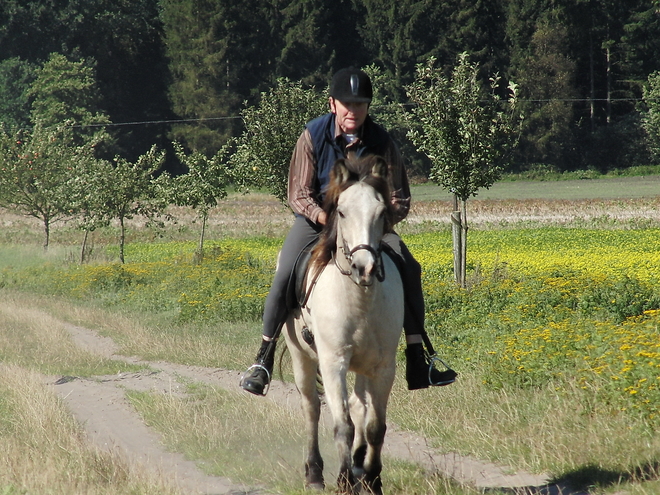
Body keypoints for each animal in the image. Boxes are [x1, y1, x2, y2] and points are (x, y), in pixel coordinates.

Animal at [282, 155, 402, 495]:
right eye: (343, 211)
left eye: (381, 212)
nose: (365, 267)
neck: (359, 299)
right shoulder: (333, 361)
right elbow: (343, 426)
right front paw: (345, 480)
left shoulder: (384, 367)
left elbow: (374, 426)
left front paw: (372, 479)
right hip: (301, 357)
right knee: (311, 406)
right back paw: (314, 472)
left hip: (363, 366)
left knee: (359, 407)